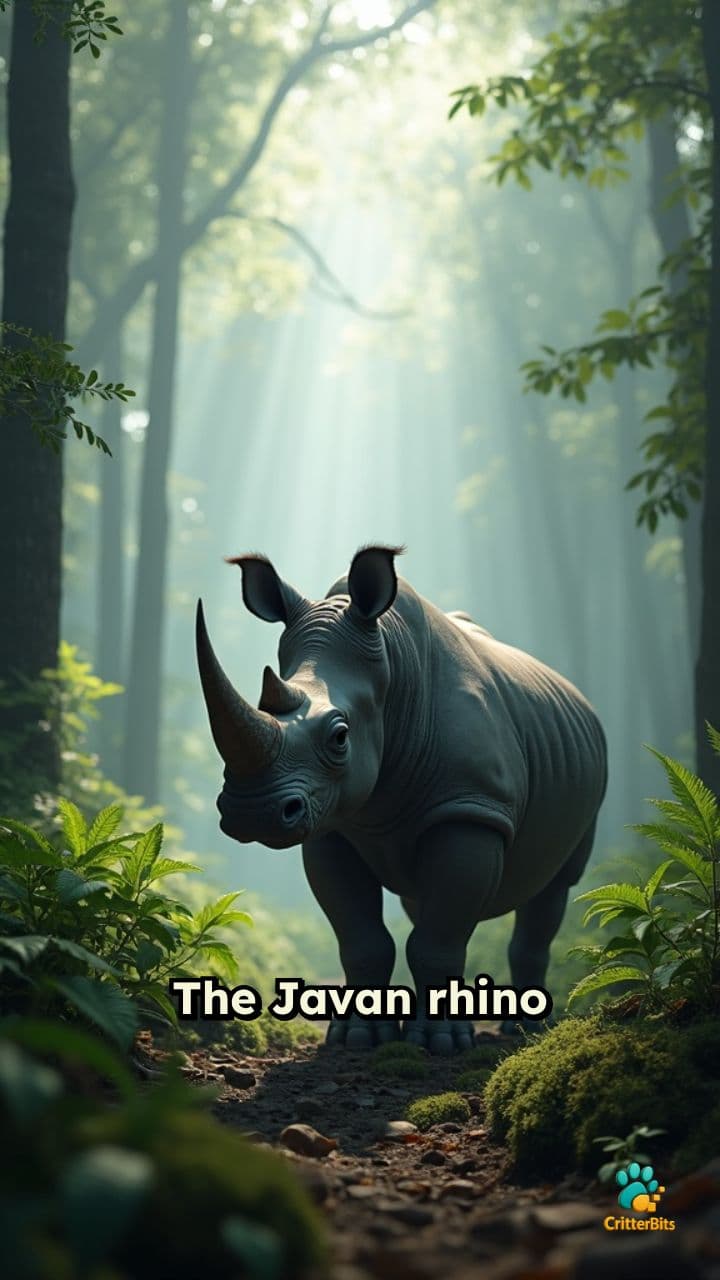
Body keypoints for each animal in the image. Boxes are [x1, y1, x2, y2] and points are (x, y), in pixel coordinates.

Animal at [196, 545, 607, 1054]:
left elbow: (438, 939)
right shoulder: (332, 822)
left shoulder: (472, 808)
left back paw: (526, 1030)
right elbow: (362, 939)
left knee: (554, 887)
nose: (251, 813)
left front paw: (441, 1043)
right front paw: (356, 1036)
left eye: (340, 737)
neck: (394, 675)